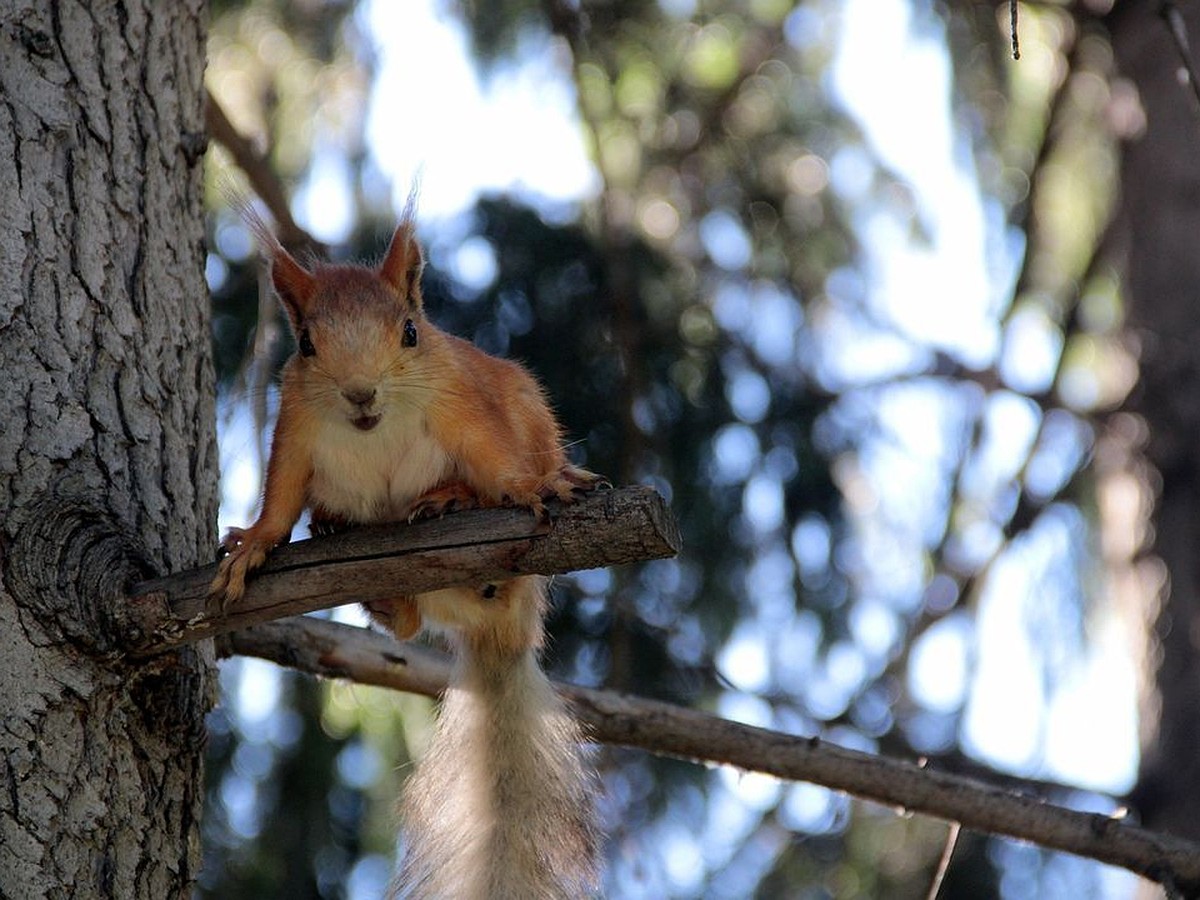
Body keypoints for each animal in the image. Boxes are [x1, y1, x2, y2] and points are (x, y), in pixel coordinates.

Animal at [208, 199, 600, 900]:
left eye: (411, 333)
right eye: (306, 344)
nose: (360, 394)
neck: (374, 430)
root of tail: (507, 636)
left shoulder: (464, 404)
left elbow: (498, 463)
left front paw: (537, 485)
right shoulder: (296, 429)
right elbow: (280, 500)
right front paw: (252, 546)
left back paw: (450, 500)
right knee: (414, 622)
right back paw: (359, 562)